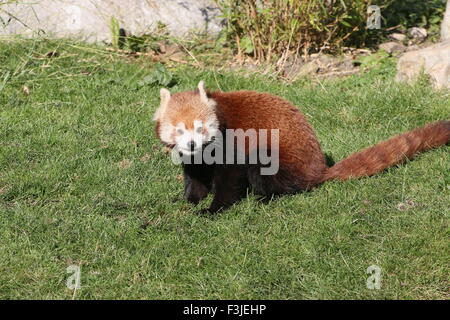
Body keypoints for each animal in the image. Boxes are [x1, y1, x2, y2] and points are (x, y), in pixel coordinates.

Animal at [153, 81, 448, 214]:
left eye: (201, 127)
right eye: (180, 130)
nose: (192, 143)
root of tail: (319, 169)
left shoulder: (232, 144)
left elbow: (229, 180)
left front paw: (213, 209)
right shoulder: (195, 158)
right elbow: (195, 176)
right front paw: (188, 199)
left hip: (278, 157)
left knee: (267, 170)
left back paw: (265, 198)